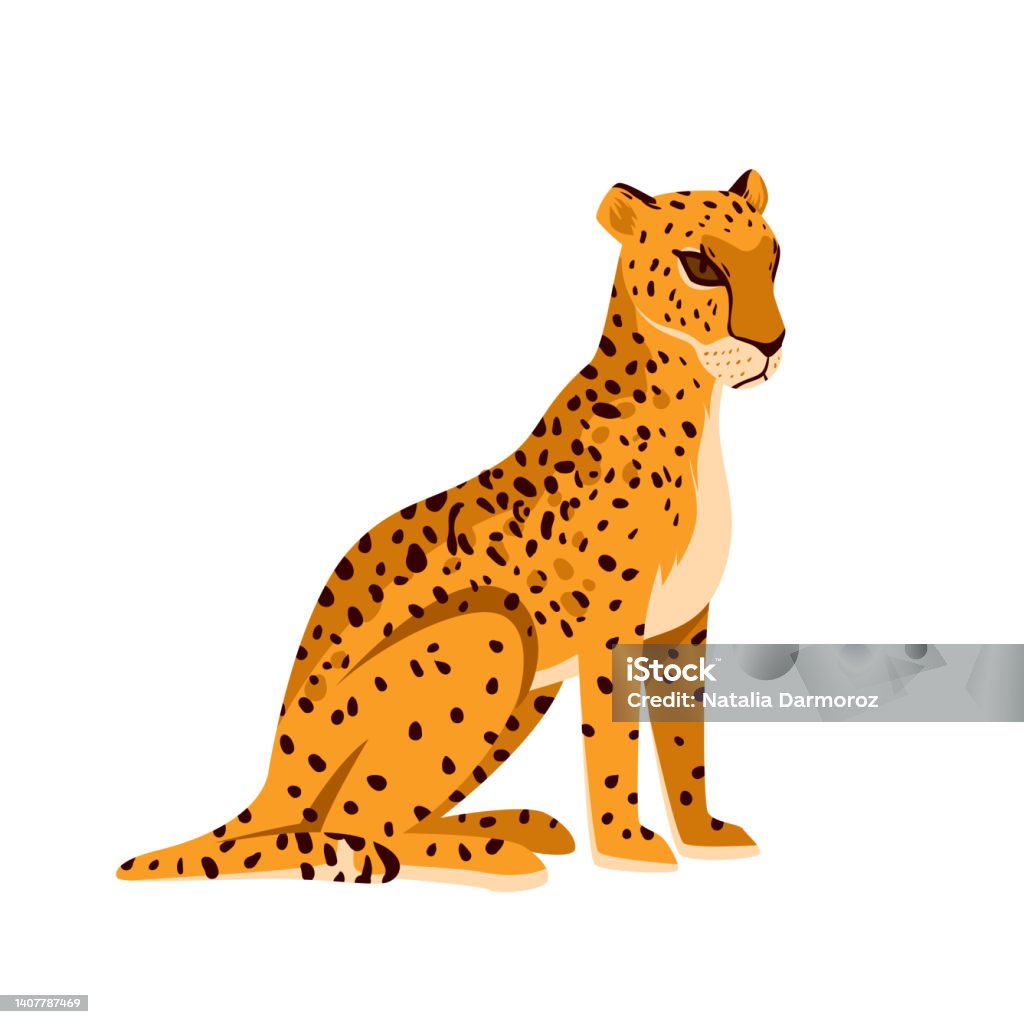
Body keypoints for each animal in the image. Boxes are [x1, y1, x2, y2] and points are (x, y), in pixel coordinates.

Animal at [118, 168, 784, 890]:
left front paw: (704, 835)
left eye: (773, 258)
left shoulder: (681, 627)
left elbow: (688, 745)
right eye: (700, 266)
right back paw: (491, 855)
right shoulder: (614, 629)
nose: (771, 345)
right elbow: (614, 748)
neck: (691, 398)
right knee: (334, 832)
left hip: (525, 691)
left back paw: (513, 825)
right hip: (496, 634)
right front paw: (627, 846)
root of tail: (275, 767)